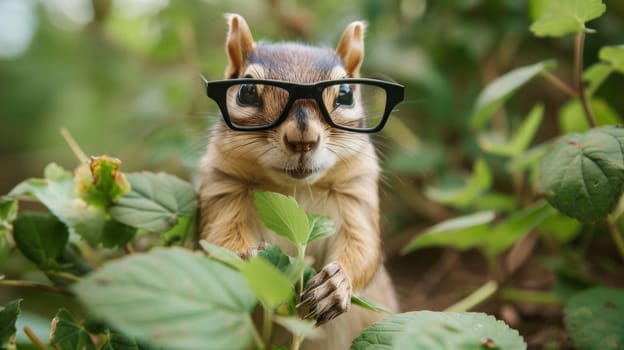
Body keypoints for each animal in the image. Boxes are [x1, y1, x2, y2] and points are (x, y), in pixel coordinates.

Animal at [197, 14, 398, 350]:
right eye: (246, 91)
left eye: (346, 94)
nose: (302, 140)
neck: (296, 189)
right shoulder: (224, 187)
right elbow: (217, 240)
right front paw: (254, 259)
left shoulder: (357, 192)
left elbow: (363, 246)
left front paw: (335, 285)